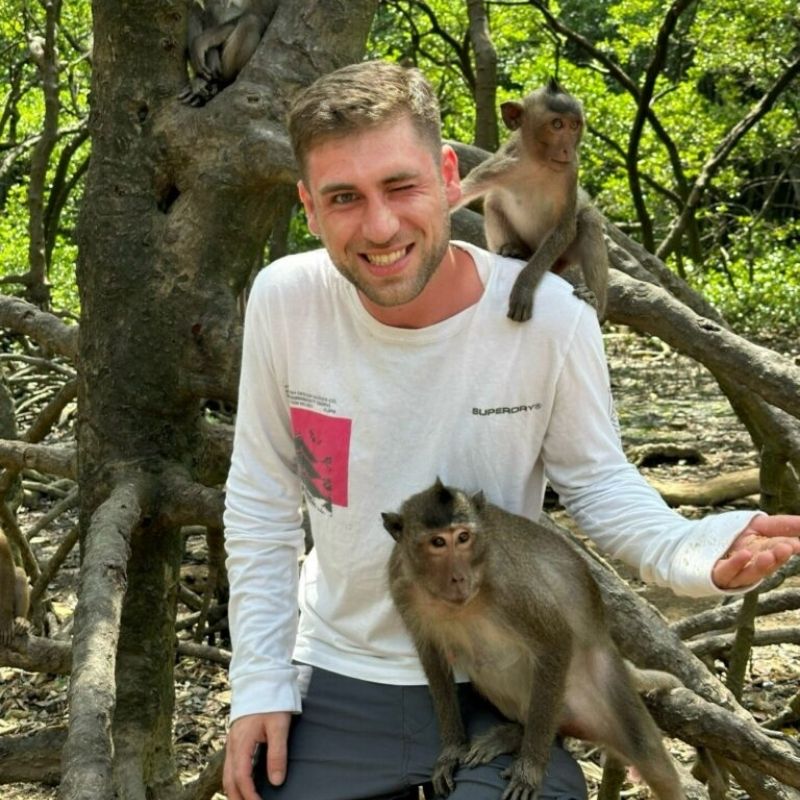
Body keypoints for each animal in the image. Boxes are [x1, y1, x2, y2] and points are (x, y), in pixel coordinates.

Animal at [383, 480, 684, 800]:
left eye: (463, 537)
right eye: (437, 543)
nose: (459, 578)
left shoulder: (508, 584)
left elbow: (556, 640)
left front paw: (530, 771)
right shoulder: (401, 585)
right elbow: (432, 658)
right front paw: (451, 751)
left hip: (603, 684)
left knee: (653, 760)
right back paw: (515, 734)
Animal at [453, 79, 609, 324]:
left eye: (574, 125)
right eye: (557, 124)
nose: (567, 149)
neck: (538, 163)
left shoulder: (570, 172)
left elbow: (564, 230)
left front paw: (523, 286)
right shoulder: (500, 164)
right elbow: (463, 193)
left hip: (562, 256)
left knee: (589, 219)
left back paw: (595, 300)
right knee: (492, 203)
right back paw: (514, 250)